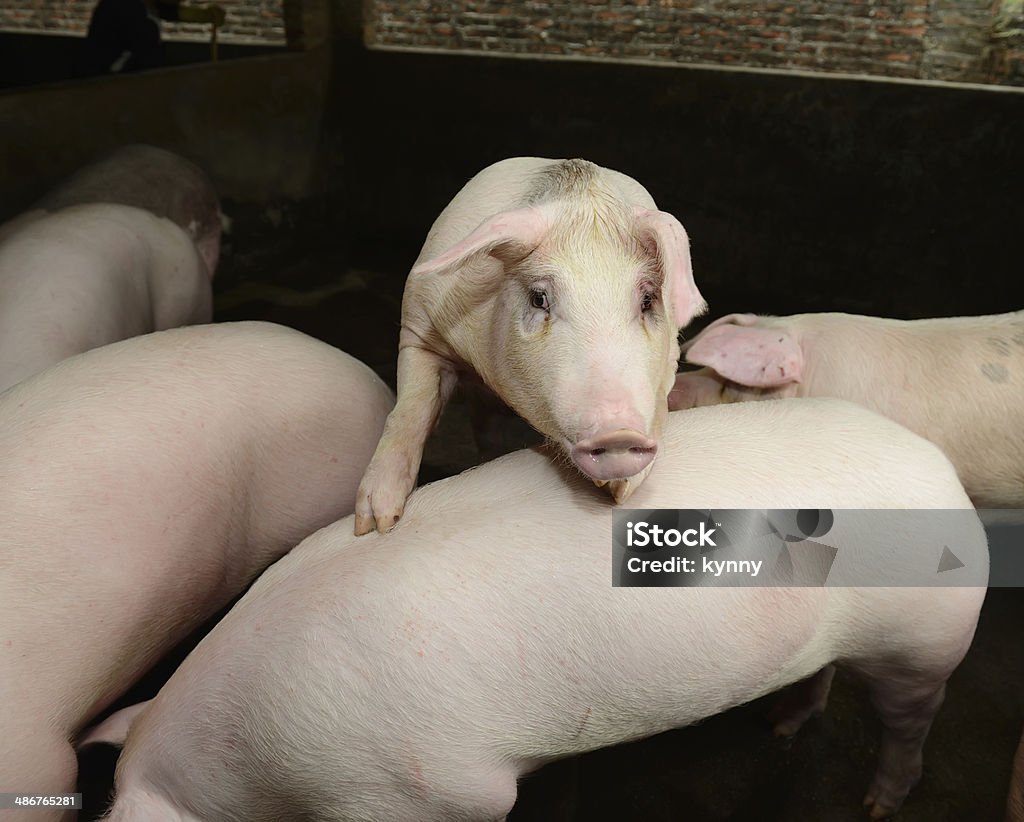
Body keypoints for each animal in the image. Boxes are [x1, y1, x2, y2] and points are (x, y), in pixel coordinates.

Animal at [101, 401, 983, 822]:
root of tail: (940, 468)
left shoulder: (428, 790)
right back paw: (779, 727)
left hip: (922, 634)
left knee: (913, 716)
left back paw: (879, 802)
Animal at [352, 157, 704, 536]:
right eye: (539, 298)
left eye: (647, 300)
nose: (618, 433)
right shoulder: (419, 328)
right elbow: (411, 410)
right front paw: (374, 525)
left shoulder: (671, 359)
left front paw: (624, 489)